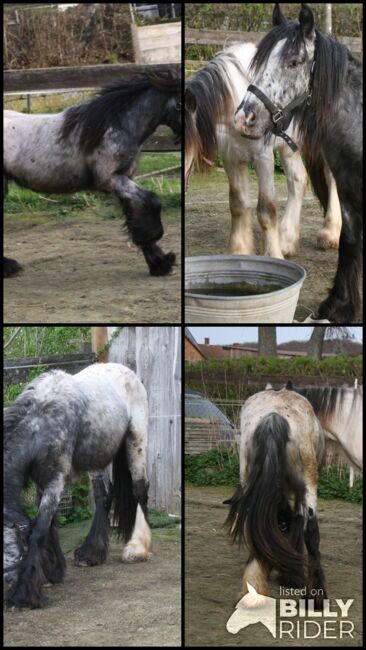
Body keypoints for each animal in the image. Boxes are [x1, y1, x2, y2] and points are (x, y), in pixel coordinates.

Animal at [3, 362, 152, 604]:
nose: (8, 580)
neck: (40, 421)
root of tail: (128, 372)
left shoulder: (55, 482)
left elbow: (39, 529)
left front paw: (24, 594)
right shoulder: (42, 483)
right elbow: (49, 525)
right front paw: (51, 571)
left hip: (136, 441)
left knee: (140, 490)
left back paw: (138, 548)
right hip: (97, 458)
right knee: (103, 496)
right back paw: (91, 553)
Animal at [4, 66, 182, 278]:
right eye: (183, 103)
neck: (114, 126)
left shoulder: (124, 179)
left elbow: (134, 214)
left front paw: (159, 263)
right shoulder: (110, 179)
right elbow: (152, 200)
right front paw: (155, 240)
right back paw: (9, 267)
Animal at [184, 39, 342, 258]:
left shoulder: (263, 157)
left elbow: (266, 210)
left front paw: (273, 255)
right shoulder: (231, 157)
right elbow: (238, 204)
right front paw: (239, 251)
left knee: (331, 177)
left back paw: (330, 233)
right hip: (289, 147)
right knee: (299, 179)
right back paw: (287, 240)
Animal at [226, 388, 326, 612]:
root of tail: (274, 417)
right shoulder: (298, 491)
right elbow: (297, 520)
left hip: (248, 479)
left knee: (255, 525)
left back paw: (252, 591)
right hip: (308, 482)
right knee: (311, 532)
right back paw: (315, 596)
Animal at [234, 3, 364, 322]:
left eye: (294, 62)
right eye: (261, 62)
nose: (244, 118)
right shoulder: (348, 193)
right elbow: (349, 243)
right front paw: (337, 306)